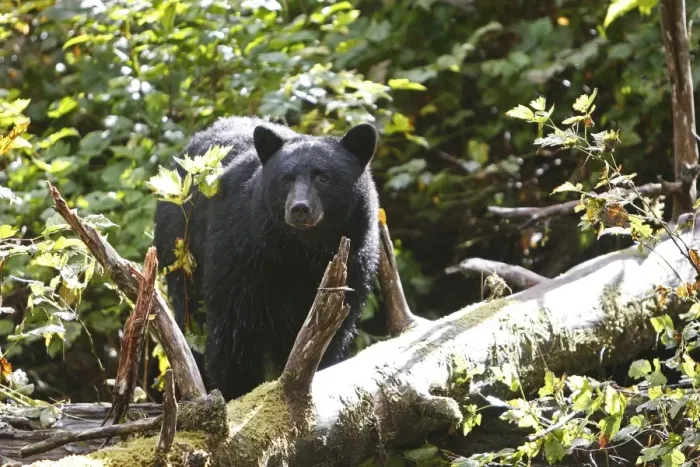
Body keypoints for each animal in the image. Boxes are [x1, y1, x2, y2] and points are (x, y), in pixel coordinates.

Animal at [153, 116, 380, 400]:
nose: (300, 209)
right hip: (180, 248)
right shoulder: (243, 253)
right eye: (285, 179)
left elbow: (331, 332)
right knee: (191, 317)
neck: (301, 250)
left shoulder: (354, 260)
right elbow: (233, 330)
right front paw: (235, 392)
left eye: (323, 178)